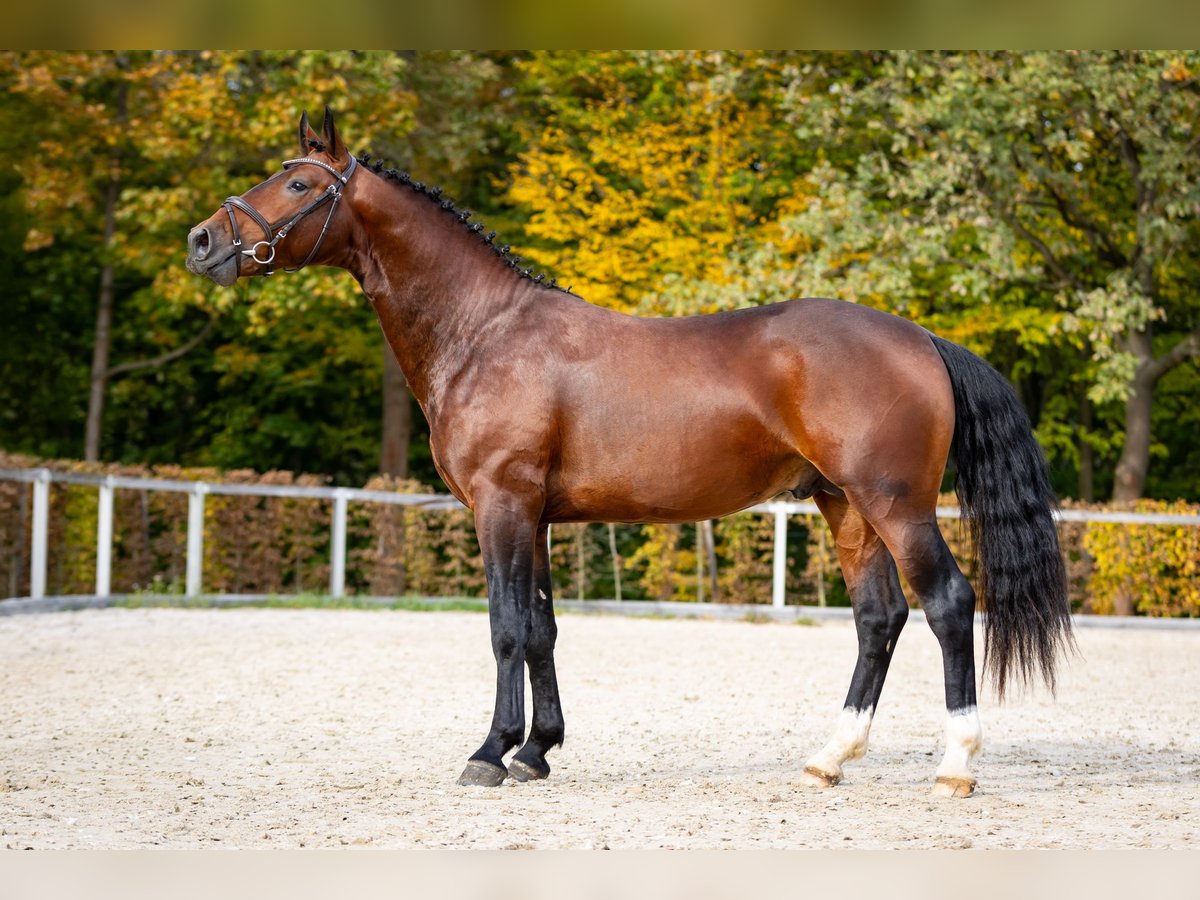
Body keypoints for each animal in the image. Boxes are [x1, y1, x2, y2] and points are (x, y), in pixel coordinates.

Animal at [189, 109, 1080, 801]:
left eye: (298, 185)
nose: (202, 241)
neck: (485, 333)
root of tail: (922, 338)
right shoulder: (536, 516)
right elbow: (542, 630)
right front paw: (537, 751)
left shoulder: (502, 505)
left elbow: (505, 627)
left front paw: (490, 753)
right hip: (845, 507)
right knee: (878, 619)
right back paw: (828, 759)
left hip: (896, 504)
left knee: (948, 604)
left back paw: (956, 767)